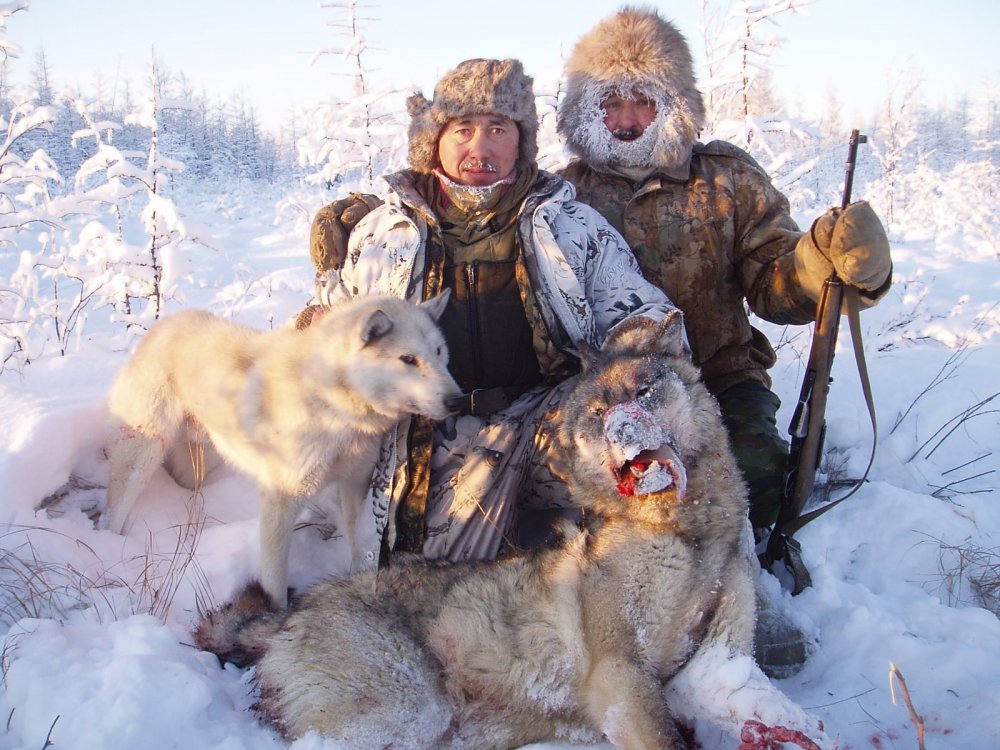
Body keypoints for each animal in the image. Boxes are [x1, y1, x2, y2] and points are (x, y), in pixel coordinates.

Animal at [101, 294, 460, 612]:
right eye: (408, 359)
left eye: (439, 352)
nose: (457, 400)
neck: (332, 403)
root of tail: (166, 324)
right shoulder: (282, 501)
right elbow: (274, 583)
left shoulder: (354, 484)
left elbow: (359, 544)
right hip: (143, 454)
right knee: (114, 510)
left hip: (198, 459)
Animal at [195, 318, 828, 750]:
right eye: (596, 414)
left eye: (642, 392)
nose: (622, 432)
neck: (688, 530)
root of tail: (296, 611)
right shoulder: (622, 674)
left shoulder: (720, 659)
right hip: (407, 711)